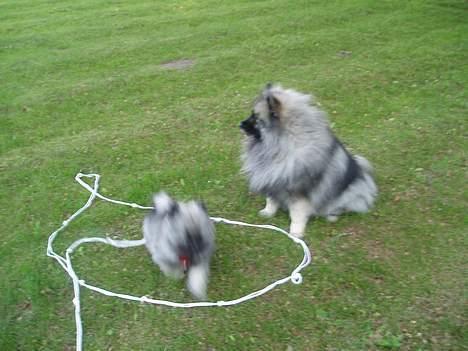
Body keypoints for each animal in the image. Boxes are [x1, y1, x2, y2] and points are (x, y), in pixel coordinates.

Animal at [239, 84, 378, 238]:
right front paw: (268, 213)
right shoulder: (272, 181)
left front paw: (295, 233)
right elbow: (271, 200)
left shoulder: (298, 191)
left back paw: (331, 215)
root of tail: (364, 176)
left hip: (349, 192)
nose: (240, 124)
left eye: (256, 118)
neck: (281, 145)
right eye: (252, 115)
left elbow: (297, 214)